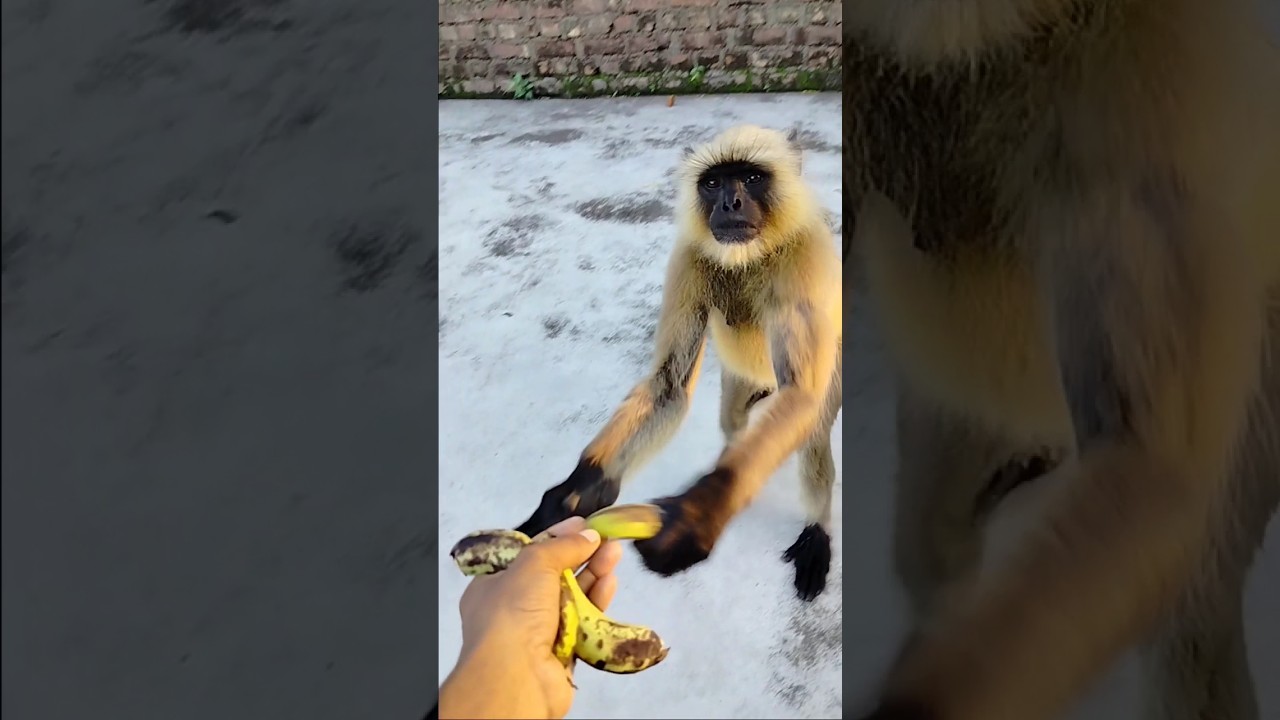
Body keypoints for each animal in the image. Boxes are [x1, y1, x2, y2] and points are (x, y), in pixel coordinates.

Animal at [513, 124, 844, 601]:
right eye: (713, 183)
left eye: (751, 178)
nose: (730, 204)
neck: (751, 256)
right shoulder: (689, 256)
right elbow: (669, 384)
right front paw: (576, 493)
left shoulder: (805, 260)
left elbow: (801, 395)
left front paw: (698, 515)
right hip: (740, 381)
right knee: (733, 418)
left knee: (811, 425)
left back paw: (816, 529)